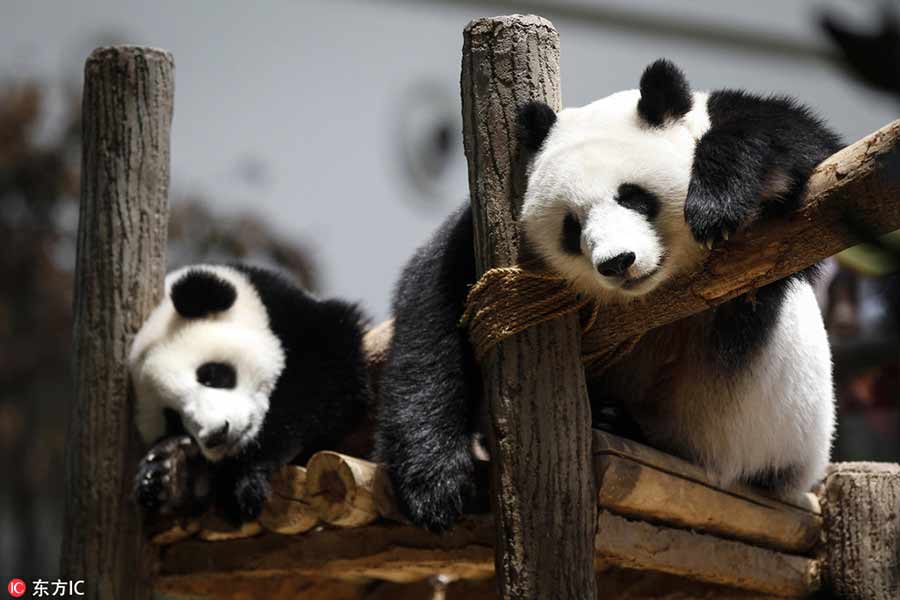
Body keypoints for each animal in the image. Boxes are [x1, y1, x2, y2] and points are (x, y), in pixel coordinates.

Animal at [129, 264, 371, 523]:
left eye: (210, 375)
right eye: (173, 419)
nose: (217, 434)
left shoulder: (304, 322)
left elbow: (323, 374)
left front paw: (248, 476)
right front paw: (172, 470)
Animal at [375, 59, 840, 532]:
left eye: (632, 197)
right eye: (571, 225)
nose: (618, 262)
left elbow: (796, 144)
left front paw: (716, 205)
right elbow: (434, 311)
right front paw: (435, 485)